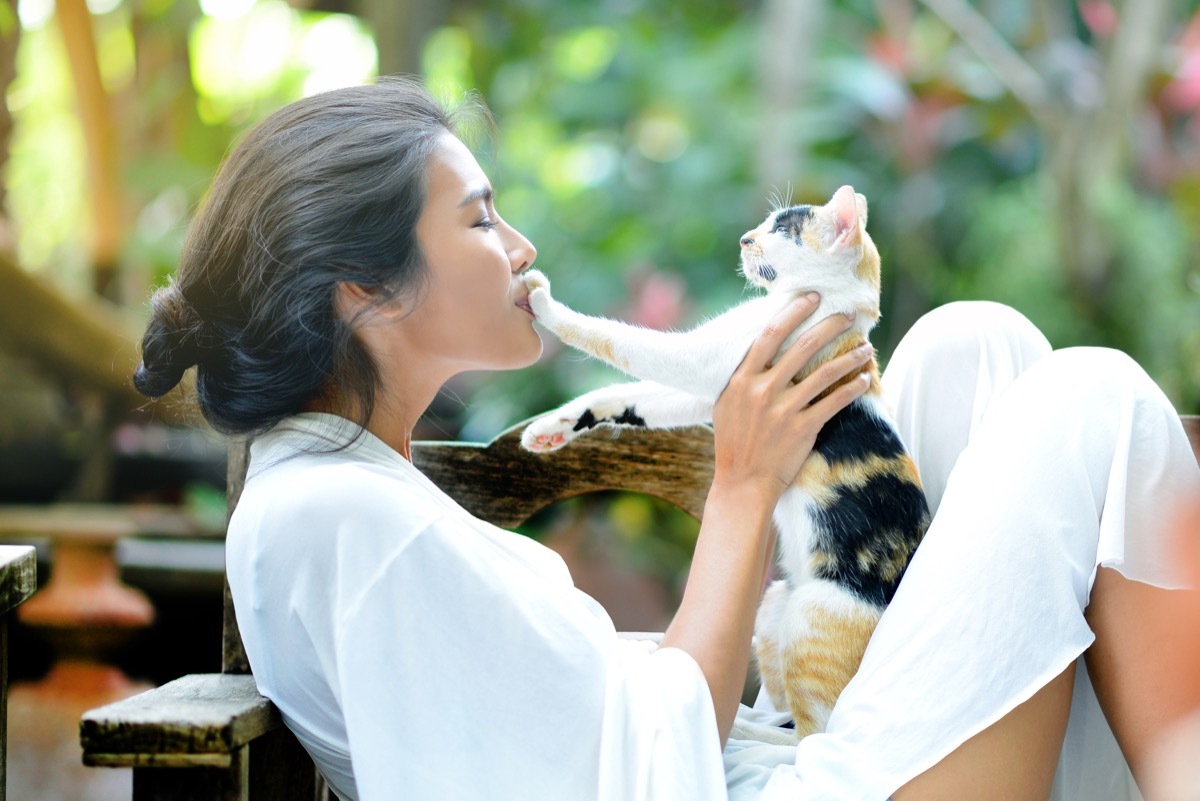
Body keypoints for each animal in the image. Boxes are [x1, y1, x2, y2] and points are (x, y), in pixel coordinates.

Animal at [516, 184, 926, 743]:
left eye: (782, 229)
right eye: (766, 224)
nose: (745, 238)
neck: (833, 307)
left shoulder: (706, 357)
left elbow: (620, 341)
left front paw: (543, 302)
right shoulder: (715, 389)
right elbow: (634, 398)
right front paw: (551, 426)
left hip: (811, 617)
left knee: (809, 739)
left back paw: (741, 731)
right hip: (775, 603)